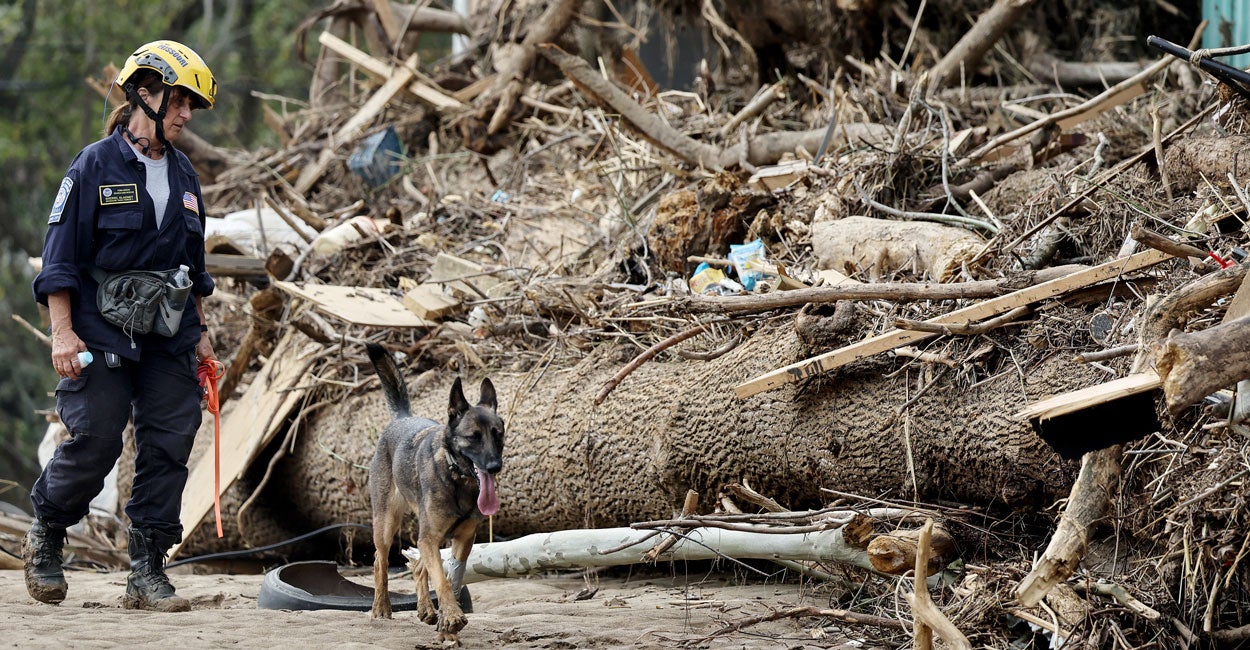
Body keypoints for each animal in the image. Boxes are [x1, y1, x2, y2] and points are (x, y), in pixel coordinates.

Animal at [362, 342, 502, 640]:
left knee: (417, 567)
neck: (456, 478)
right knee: (380, 561)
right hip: (387, 522)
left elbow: (451, 578)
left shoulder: (462, 540)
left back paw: (426, 609)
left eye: (499, 434)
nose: (494, 467)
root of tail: (403, 418)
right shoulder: (429, 538)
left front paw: (447, 623)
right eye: (473, 437)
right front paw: (451, 618)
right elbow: (441, 580)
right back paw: (381, 607)